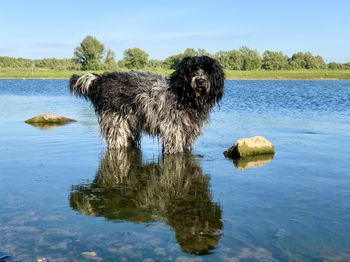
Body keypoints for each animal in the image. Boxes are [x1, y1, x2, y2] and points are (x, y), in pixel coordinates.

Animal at [69, 55, 226, 154]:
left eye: (207, 70)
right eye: (192, 70)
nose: (200, 80)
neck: (187, 98)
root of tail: (101, 79)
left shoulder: (188, 132)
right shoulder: (173, 131)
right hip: (115, 122)